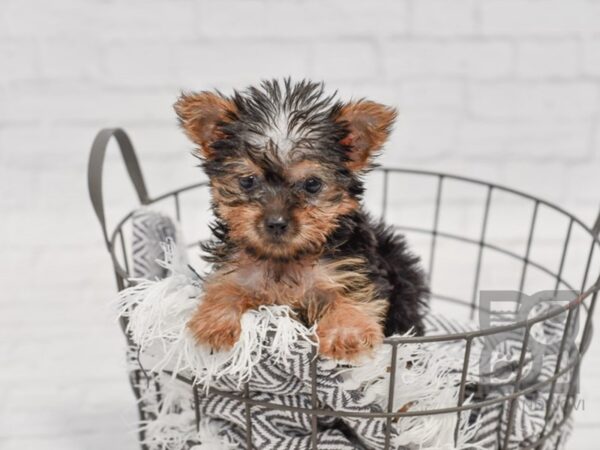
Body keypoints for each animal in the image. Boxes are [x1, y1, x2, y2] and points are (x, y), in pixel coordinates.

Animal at [173, 80, 426, 362]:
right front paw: (214, 322)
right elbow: (225, 286)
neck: (286, 259)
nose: (276, 222)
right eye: (248, 181)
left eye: (312, 184)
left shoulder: (350, 270)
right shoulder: (240, 272)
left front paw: (347, 333)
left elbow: (354, 294)